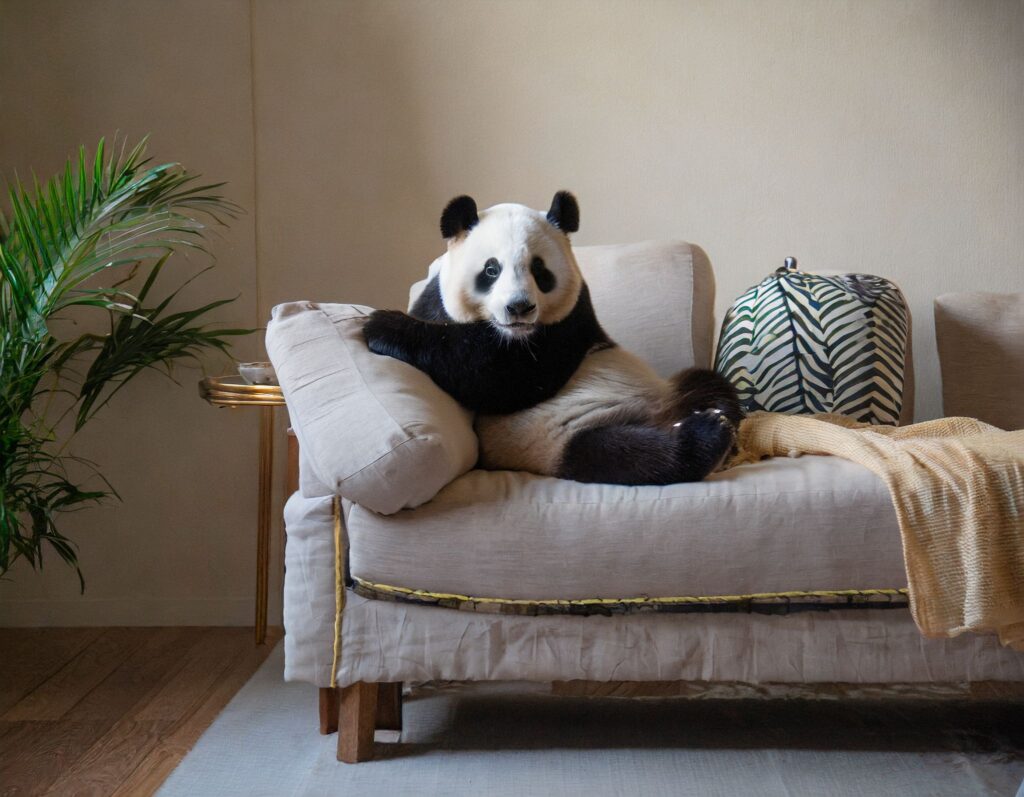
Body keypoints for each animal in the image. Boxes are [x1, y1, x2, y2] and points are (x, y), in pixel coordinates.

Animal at [362, 191, 743, 485]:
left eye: (539, 269)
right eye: (491, 269)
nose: (519, 307)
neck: (509, 334)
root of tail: (662, 417)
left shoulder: (572, 320)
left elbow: (507, 376)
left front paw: (382, 326)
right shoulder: (438, 300)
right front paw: (382, 324)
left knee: (676, 419)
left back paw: (715, 430)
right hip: (554, 438)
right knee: (617, 454)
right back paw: (713, 433)